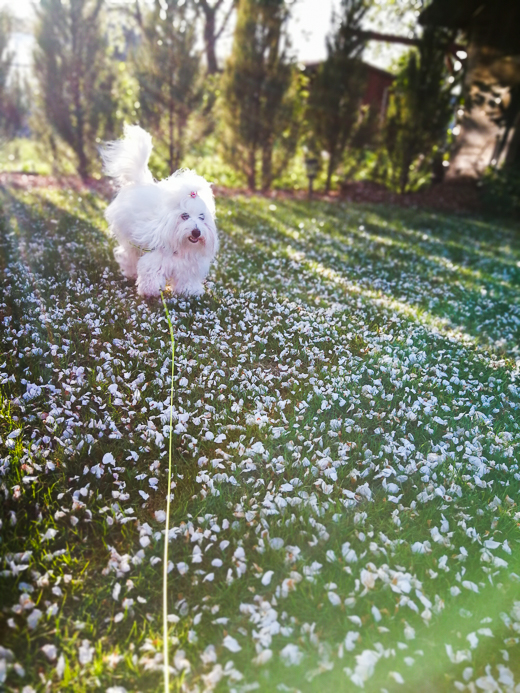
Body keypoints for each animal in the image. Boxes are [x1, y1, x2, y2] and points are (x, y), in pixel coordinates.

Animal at [101, 125, 217, 298]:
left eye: (202, 217)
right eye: (185, 216)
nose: (196, 232)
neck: (182, 245)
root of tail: (139, 183)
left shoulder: (189, 266)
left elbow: (187, 280)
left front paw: (190, 291)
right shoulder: (156, 258)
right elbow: (151, 273)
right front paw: (150, 291)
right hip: (129, 239)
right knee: (129, 255)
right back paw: (131, 273)